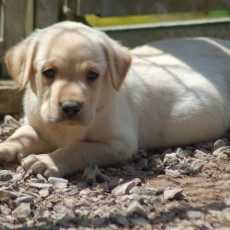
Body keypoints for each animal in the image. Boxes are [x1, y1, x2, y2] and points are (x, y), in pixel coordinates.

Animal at [0, 21, 230, 177]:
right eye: (48, 72)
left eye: (92, 75)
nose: (70, 107)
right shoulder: (38, 126)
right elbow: (22, 135)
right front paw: (5, 147)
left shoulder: (119, 142)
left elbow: (78, 148)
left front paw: (48, 160)